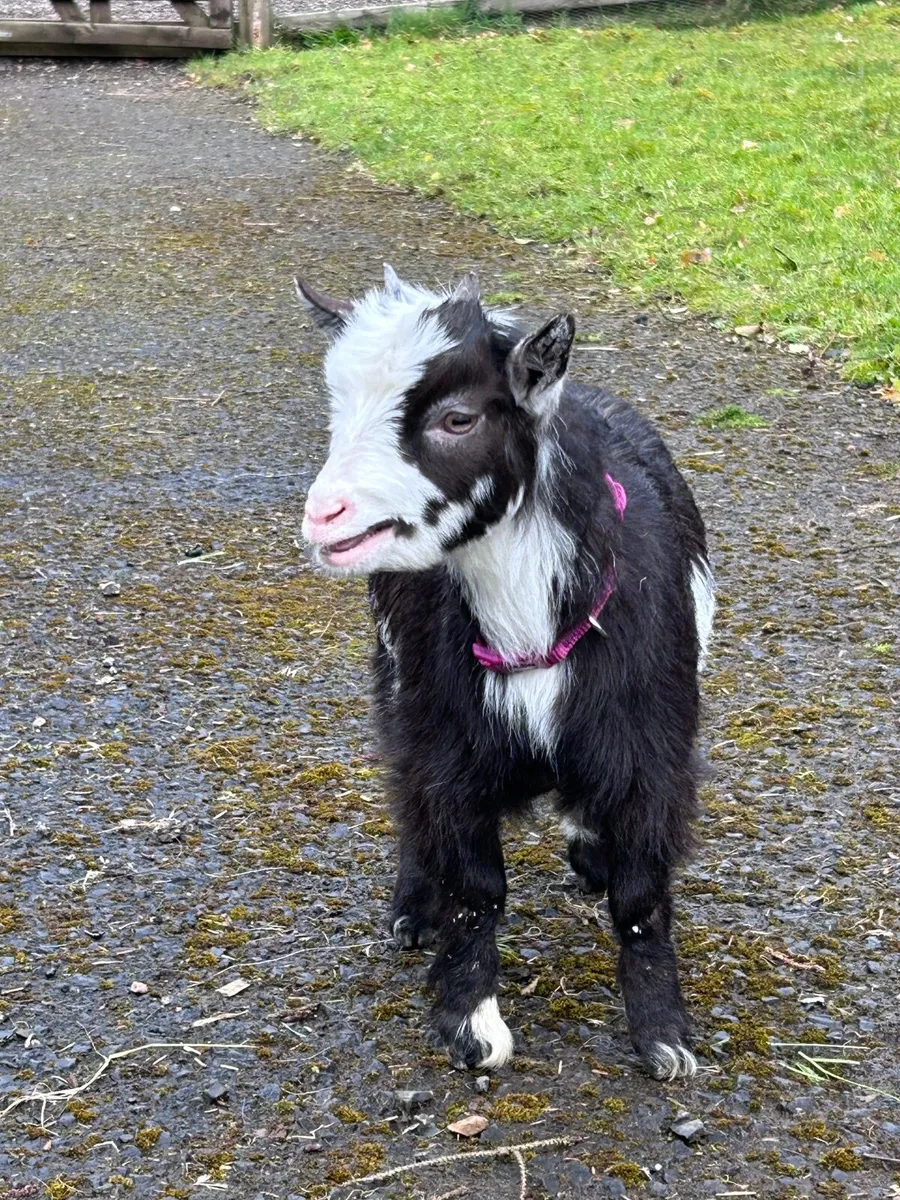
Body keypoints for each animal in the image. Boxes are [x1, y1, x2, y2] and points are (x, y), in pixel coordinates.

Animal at [295, 266, 715, 1080]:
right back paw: (410, 909)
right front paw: (471, 1023)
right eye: (337, 406)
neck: (532, 636)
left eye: (457, 419)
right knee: (405, 797)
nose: (325, 516)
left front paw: (664, 1037)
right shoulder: (447, 750)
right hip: (396, 681)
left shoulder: (652, 755)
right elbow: (476, 889)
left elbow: (640, 900)